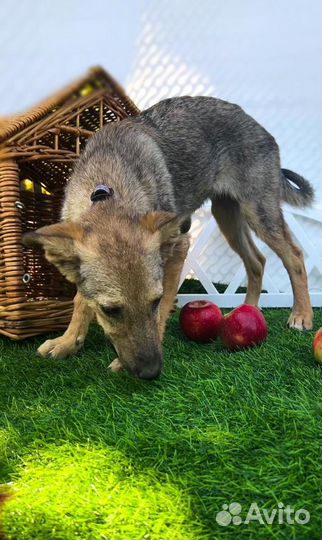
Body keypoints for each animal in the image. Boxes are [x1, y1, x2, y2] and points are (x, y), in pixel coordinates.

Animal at [23, 95, 314, 378]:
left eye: (154, 300)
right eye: (110, 311)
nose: (151, 372)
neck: (108, 188)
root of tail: (259, 126)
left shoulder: (179, 247)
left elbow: (162, 311)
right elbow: (80, 300)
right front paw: (68, 341)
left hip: (259, 212)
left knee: (294, 255)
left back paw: (301, 315)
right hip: (227, 216)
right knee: (257, 261)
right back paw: (249, 309)